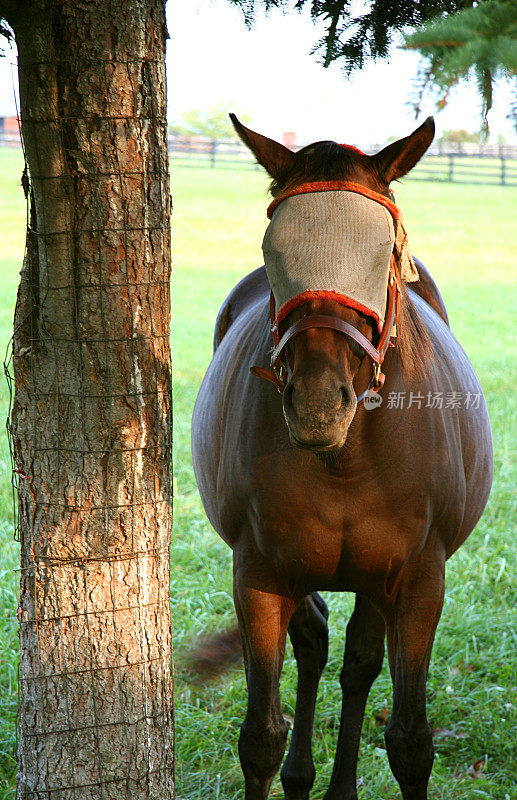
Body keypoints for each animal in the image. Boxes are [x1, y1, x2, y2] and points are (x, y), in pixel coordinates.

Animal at [189, 114, 492, 800]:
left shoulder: (418, 582)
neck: (346, 460)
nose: (318, 404)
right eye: (273, 252)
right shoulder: (259, 574)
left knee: (357, 662)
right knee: (319, 643)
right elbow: (260, 736)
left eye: (382, 254)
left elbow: (410, 742)